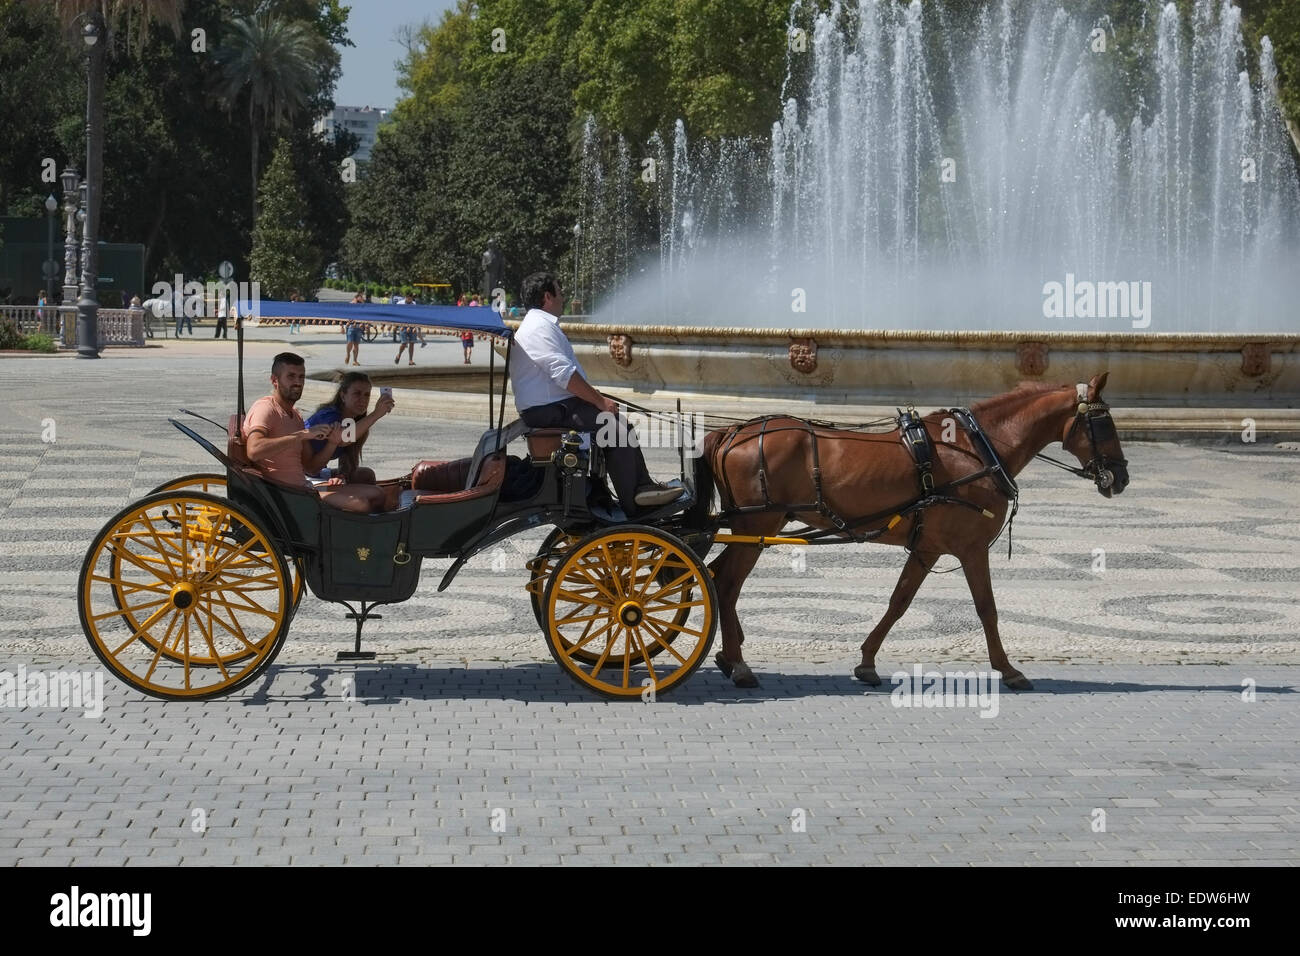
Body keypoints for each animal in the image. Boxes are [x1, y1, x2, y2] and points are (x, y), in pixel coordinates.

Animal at [702, 371, 1128, 686]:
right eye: (1104, 423)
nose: (1121, 477)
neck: (978, 450)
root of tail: (732, 432)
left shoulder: (927, 548)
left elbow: (899, 602)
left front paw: (867, 661)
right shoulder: (972, 549)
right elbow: (986, 608)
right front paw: (1007, 669)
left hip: (752, 530)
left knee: (717, 575)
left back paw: (728, 655)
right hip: (757, 526)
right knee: (727, 585)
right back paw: (739, 664)